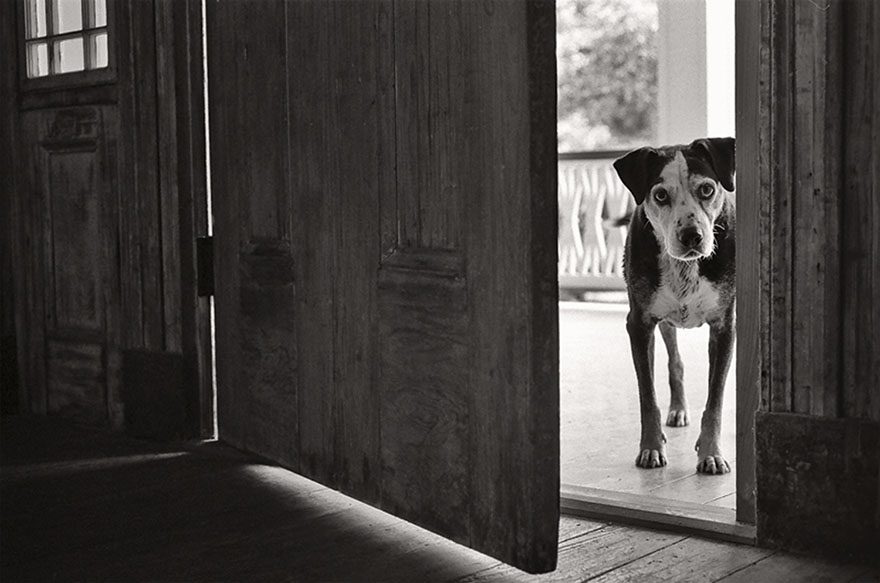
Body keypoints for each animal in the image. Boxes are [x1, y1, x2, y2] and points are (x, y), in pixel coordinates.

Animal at [612, 139, 736, 476]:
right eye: (660, 195)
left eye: (707, 189)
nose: (692, 236)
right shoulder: (639, 324)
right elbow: (648, 396)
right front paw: (651, 448)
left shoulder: (724, 326)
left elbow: (716, 399)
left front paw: (711, 453)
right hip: (663, 323)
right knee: (675, 362)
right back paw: (677, 410)